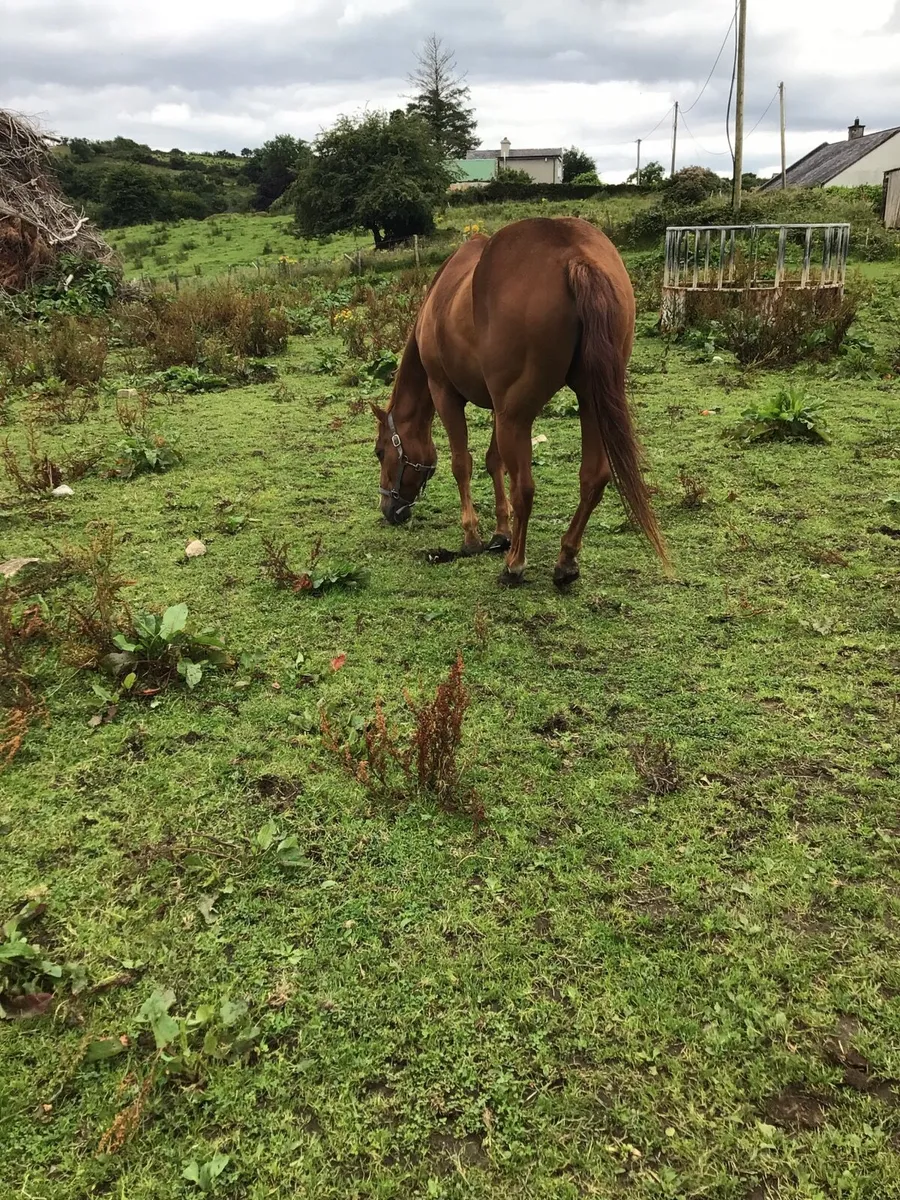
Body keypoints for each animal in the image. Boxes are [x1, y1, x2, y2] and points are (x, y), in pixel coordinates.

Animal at [372, 216, 667, 586]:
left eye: (380, 452)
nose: (389, 509)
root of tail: (575, 255)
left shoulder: (446, 394)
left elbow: (462, 464)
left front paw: (472, 536)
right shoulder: (498, 407)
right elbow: (493, 461)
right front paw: (501, 532)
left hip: (518, 415)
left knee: (525, 487)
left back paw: (515, 564)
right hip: (588, 403)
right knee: (593, 478)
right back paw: (566, 559)